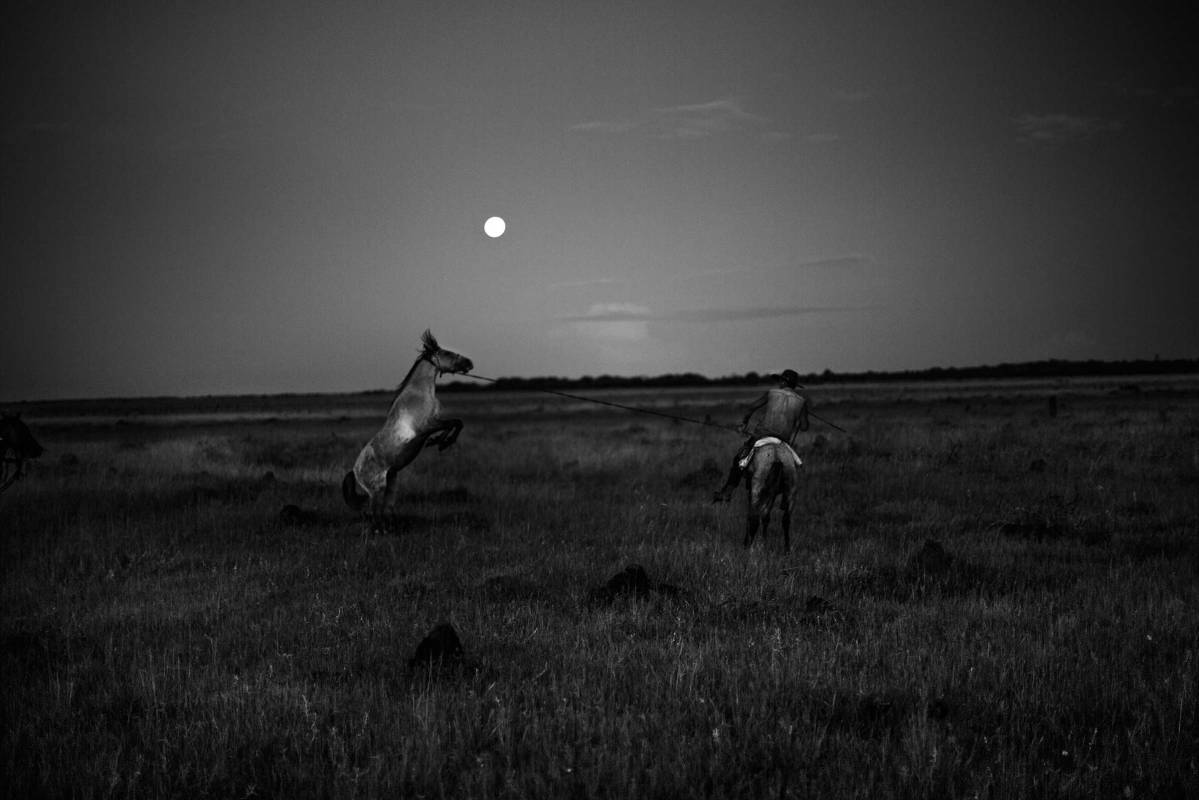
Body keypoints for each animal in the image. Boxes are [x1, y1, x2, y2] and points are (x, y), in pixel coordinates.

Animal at [342, 328, 472, 527]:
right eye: (448, 353)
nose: (470, 363)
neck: (419, 393)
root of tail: (355, 471)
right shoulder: (427, 425)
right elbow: (455, 423)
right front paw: (442, 442)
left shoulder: (434, 422)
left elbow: (455, 423)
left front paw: (439, 441)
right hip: (377, 489)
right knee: (374, 514)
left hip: (392, 481)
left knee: (383, 511)